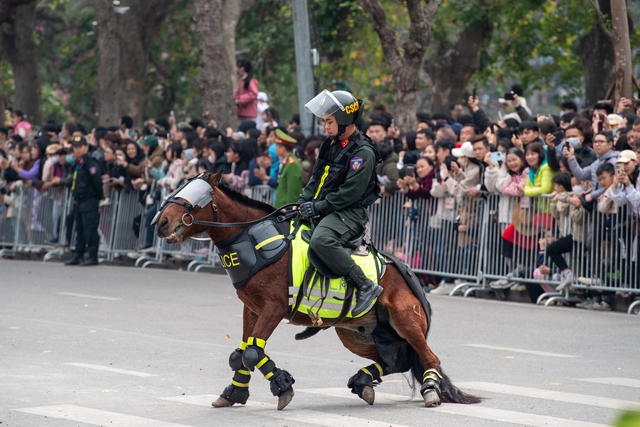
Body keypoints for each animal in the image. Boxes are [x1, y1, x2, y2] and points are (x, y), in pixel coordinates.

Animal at [154, 173, 480, 412]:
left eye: (195, 198)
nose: (161, 222)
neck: (253, 239)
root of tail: (405, 271)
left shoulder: (273, 308)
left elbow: (251, 352)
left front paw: (282, 387)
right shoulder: (252, 309)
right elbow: (243, 352)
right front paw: (235, 392)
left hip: (405, 319)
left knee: (429, 357)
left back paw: (430, 391)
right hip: (356, 334)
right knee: (395, 360)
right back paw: (363, 380)